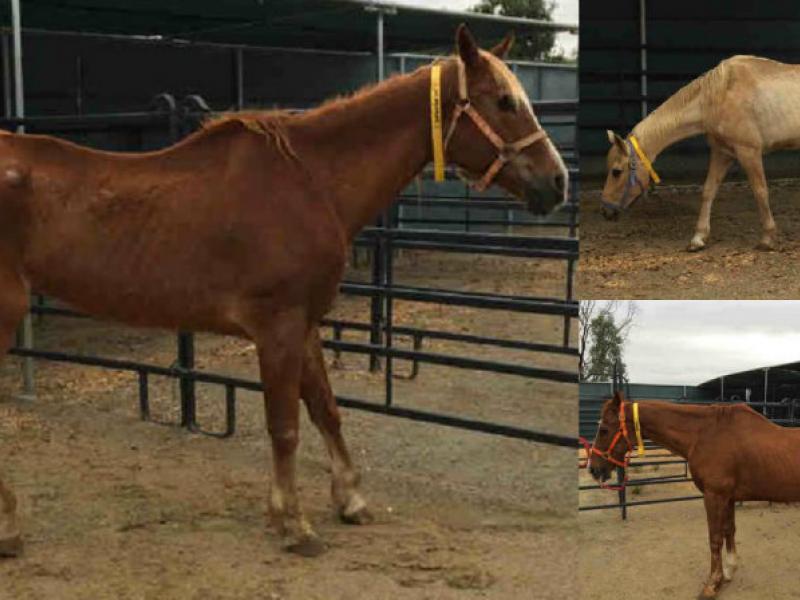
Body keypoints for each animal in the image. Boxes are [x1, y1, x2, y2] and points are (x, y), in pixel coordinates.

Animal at [0, 25, 568, 558]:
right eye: (504, 100)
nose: (557, 182)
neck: (309, 181)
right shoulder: (276, 327)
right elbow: (286, 425)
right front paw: (294, 524)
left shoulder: (306, 322)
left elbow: (325, 409)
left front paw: (350, 500)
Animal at [588, 391, 800, 598]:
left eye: (604, 429)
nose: (593, 469)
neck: (704, 435)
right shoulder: (728, 498)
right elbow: (729, 530)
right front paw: (729, 571)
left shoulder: (714, 496)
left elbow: (715, 539)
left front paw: (712, 585)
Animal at [599, 55, 800, 252]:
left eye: (616, 172)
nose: (606, 211)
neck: (720, 94)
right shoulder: (722, 153)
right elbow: (708, 190)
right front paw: (698, 238)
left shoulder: (749, 151)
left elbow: (760, 191)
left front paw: (767, 238)